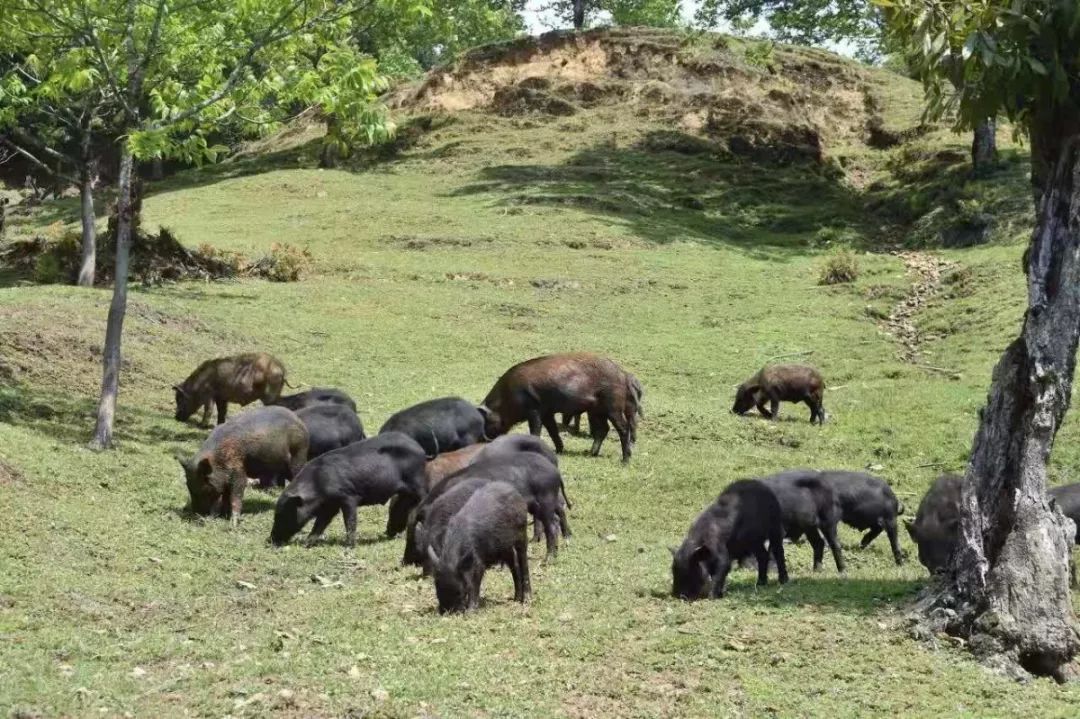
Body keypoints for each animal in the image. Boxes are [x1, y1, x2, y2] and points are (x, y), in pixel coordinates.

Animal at [174, 405, 306, 524]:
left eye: (205, 484)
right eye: (188, 485)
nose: (195, 513)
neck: (219, 460)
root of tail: (300, 422)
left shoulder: (238, 469)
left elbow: (236, 493)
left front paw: (233, 523)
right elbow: (225, 496)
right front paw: (223, 515)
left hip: (298, 456)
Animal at [270, 431, 425, 544]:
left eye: (283, 514)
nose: (270, 539)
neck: (317, 484)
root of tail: (419, 449)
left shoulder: (348, 496)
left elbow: (349, 520)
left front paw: (349, 545)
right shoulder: (331, 505)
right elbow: (320, 523)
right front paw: (307, 543)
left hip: (417, 482)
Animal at [481, 351, 639, 459]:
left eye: (487, 422)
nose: (484, 443)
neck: (508, 397)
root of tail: (623, 374)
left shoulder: (534, 409)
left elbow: (535, 431)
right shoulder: (547, 412)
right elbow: (553, 430)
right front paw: (559, 451)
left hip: (613, 406)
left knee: (623, 428)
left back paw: (624, 460)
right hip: (597, 410)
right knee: (603, 429)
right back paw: (590, 454)